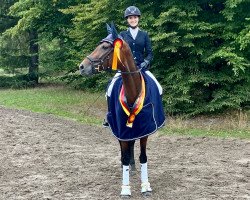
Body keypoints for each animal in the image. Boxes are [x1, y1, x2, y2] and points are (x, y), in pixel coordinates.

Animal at [78, 23, 164, 197]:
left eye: (105, 47)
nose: (82, 67)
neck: (133, 92)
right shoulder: (121, 130)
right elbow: (124, 156)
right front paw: (125, 189)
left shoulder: (144, 131)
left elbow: (143, 157)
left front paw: (145, 186)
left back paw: (133, 167)